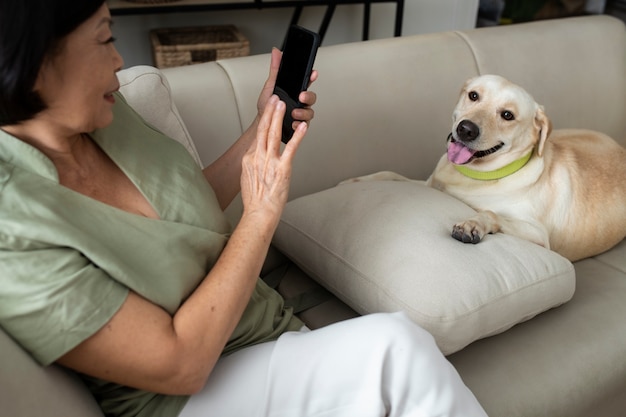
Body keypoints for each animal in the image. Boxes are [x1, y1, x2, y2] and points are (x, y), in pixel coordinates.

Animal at [344, 73, 624, 258]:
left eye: (507, 115)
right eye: (474, 96)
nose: (466, 129)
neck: (477, 175)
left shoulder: (538, 235)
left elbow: (491, 213)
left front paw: (473, 224)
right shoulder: (427, 183)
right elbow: (390, 173)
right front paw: (355, 181)